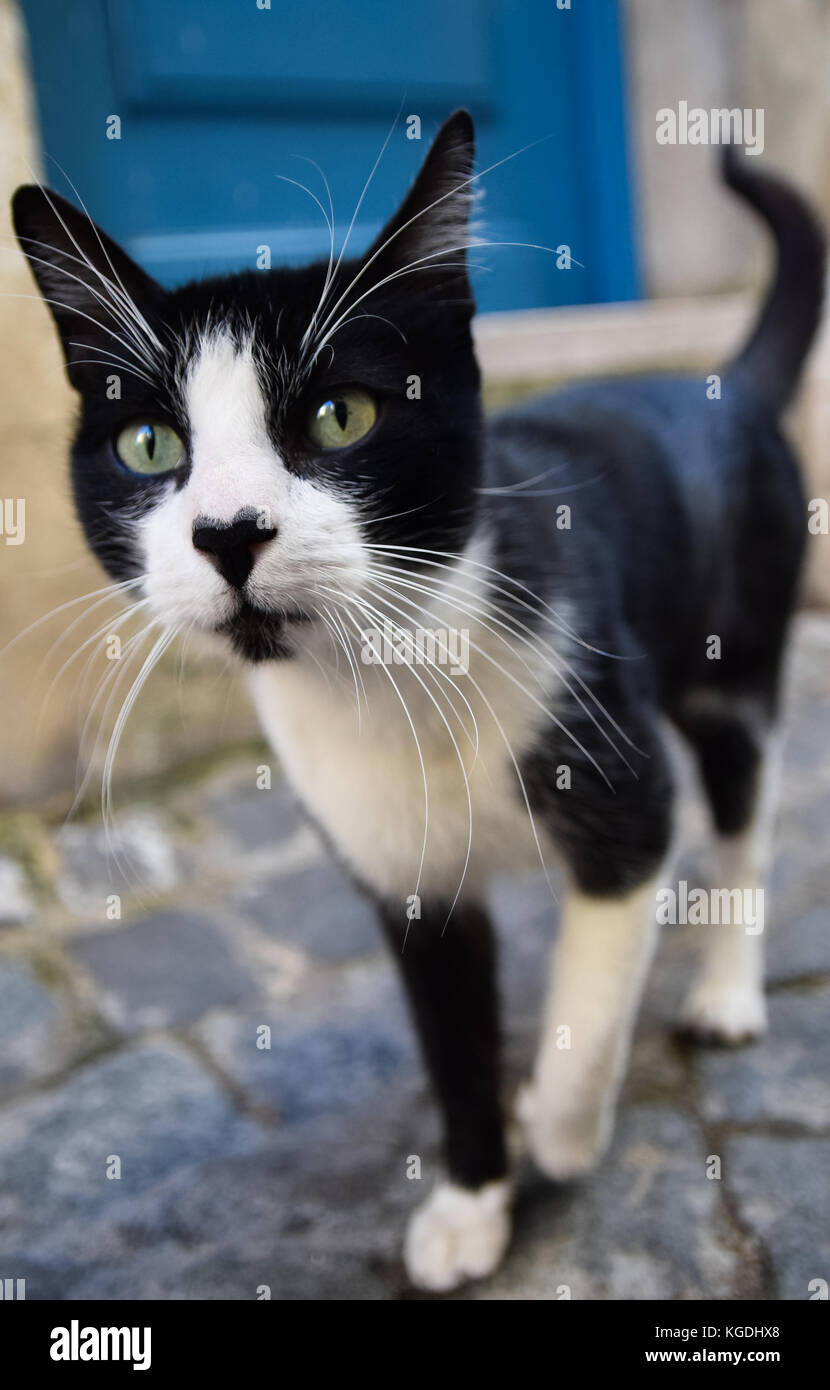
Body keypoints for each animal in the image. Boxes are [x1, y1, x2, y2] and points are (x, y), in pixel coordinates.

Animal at [12, 111, 823, 1289]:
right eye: (149, 444)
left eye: (341, 416)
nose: (228, 533)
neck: (393, 675)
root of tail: (719, 381)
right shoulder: (398, 870)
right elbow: (450, 1039)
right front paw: (473, 1200)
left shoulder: (613, 774)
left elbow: (594, 984)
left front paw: (557, 1127)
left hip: (737, 658)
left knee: (739, 812)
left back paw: (723, 989)